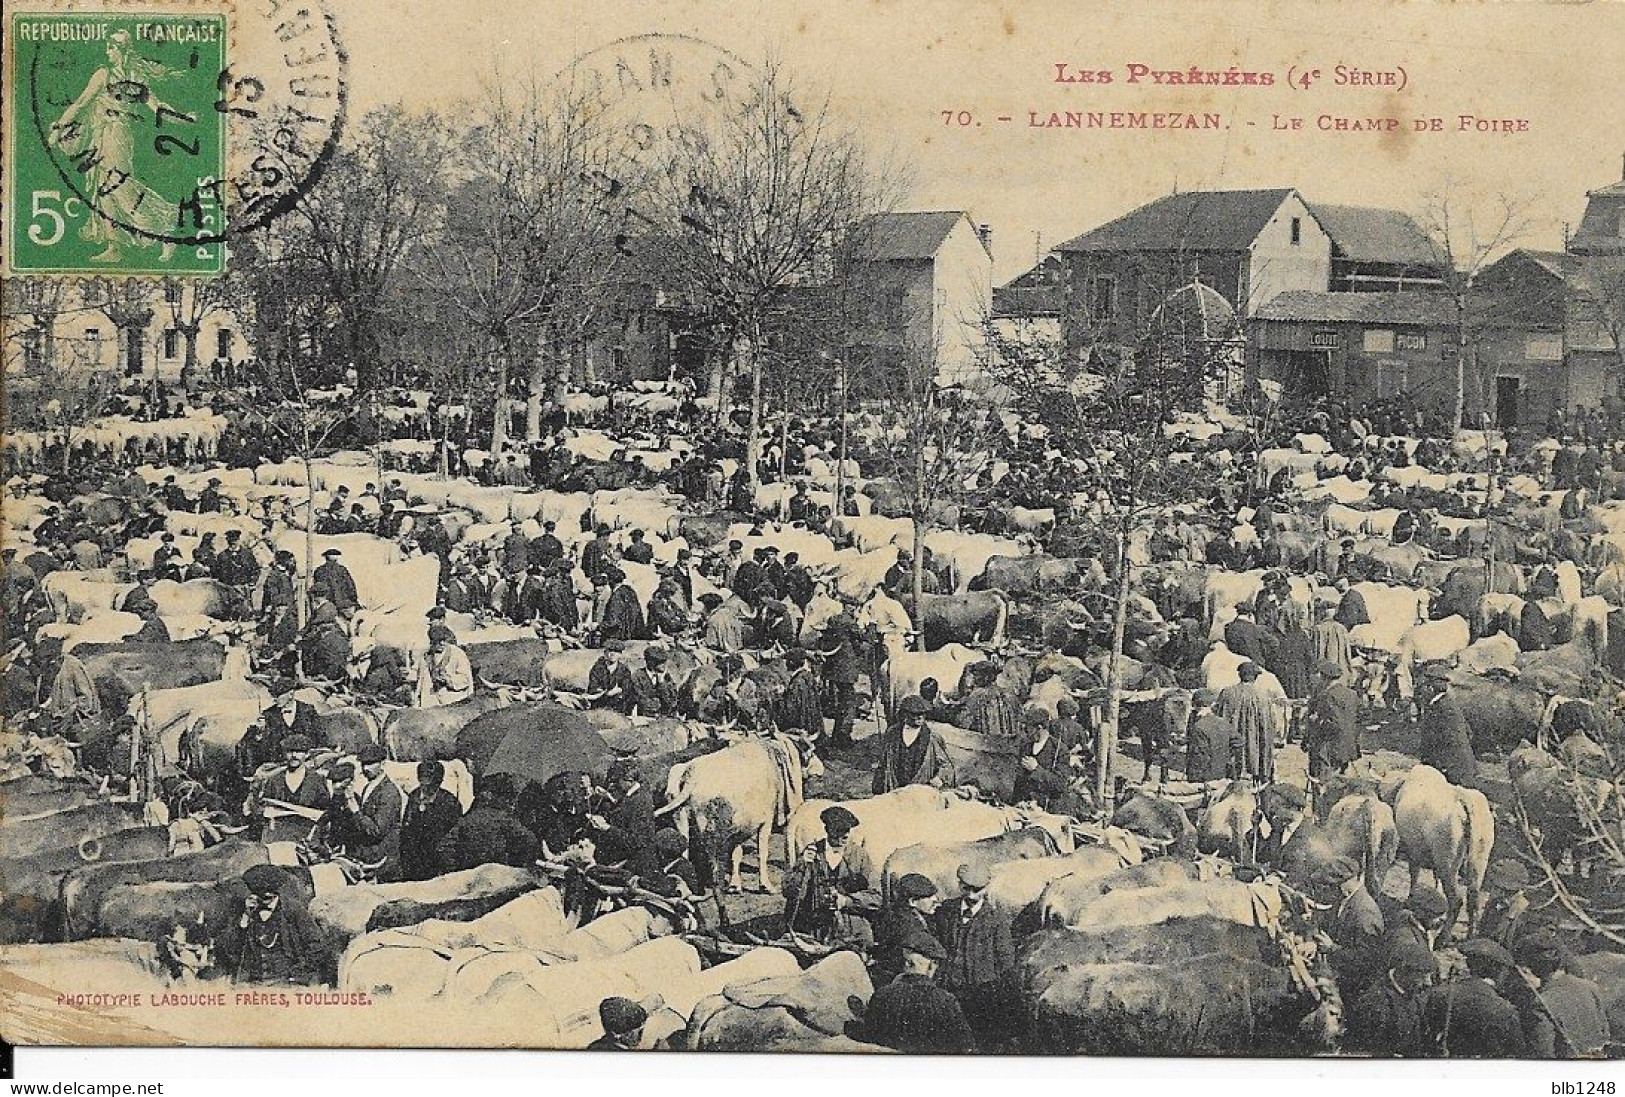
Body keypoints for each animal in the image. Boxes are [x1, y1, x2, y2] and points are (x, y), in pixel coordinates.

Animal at [656, 734, 809, 897]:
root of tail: (692, 773)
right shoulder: (765, 820)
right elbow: (762, 852)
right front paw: (765, 886)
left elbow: (737, 853)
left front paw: (735, 885)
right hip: (709, 825)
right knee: (712, 854)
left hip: (680, 817)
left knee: (684, 848)